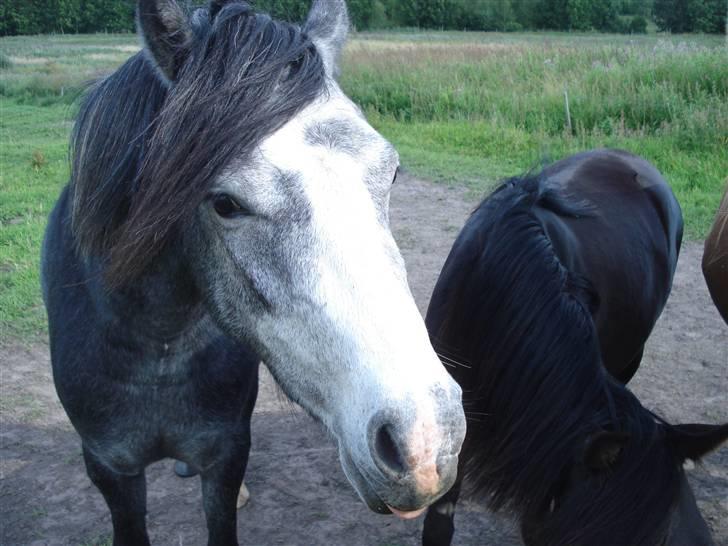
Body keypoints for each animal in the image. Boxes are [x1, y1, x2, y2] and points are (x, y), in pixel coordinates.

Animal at [41, 1, 466, 544]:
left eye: (390, 173)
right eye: (225, 203)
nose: (427, 443)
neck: (158, 349)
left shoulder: (226, 455)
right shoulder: (111, 467)